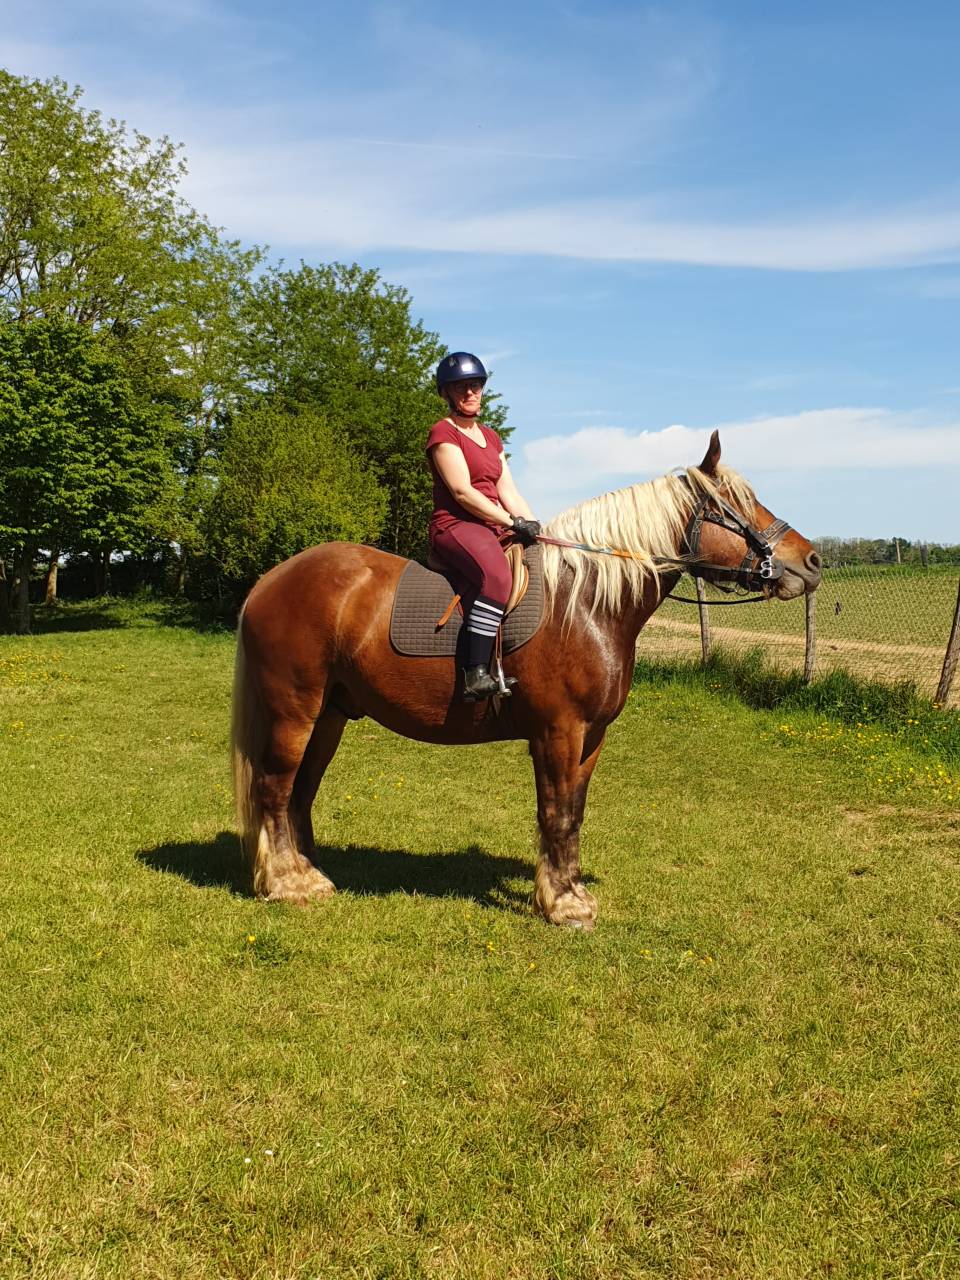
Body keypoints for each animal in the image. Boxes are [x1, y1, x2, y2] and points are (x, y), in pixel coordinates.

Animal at [231, 431, 821, 930]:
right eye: (738, 505)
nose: (812, 561)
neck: (585, 603)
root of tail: (271, 580)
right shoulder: (557, 732)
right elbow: (555, 812)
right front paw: (560, 905)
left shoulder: (591, 737)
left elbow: (574, 813)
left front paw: (571, 892)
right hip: (294, 712)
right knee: (275, 788)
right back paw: (286, 884)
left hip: (330, 715)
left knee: (300, 792)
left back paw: (306, 871)